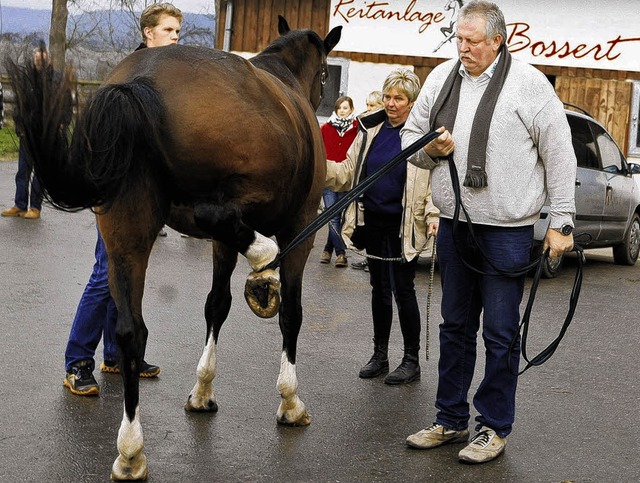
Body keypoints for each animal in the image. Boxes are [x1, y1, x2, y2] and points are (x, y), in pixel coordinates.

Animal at [7, 17, 340, 482]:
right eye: (325, 75)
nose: (320, 95)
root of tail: (141, 81)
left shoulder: (223, 245)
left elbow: (216, 305)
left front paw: (202, 391)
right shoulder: (302, 228)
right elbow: (291, 313)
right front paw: (290, 401)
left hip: (125, 232)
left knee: (131, 332)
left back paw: (131, 451)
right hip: (237, 199)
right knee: (212, 214)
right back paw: (262, 261)